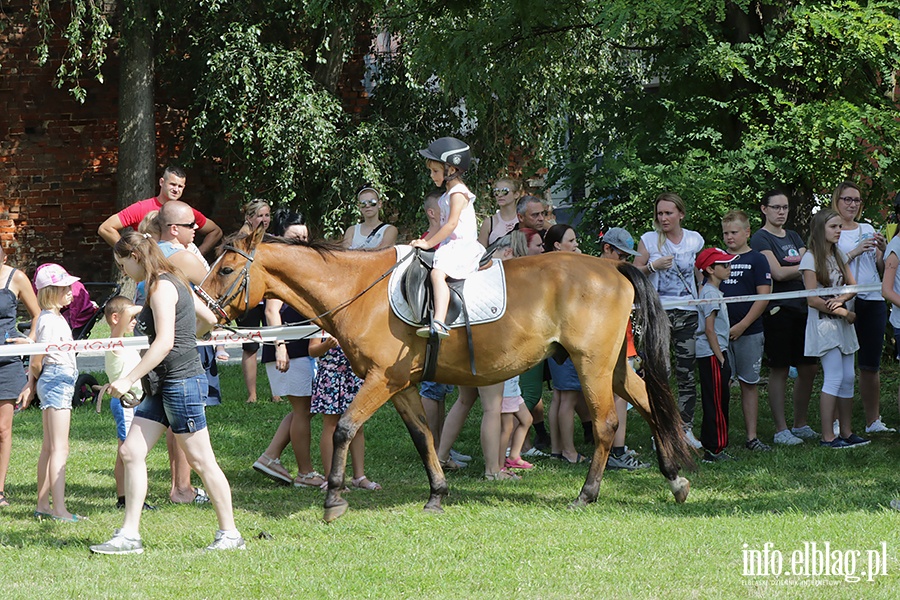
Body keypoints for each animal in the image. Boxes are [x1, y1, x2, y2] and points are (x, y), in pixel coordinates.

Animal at [204, 227, 692, 524]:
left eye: (225, 269)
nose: (203, 313)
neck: (359, 290)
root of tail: (612, 266)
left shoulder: (382, 380)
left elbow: (345, 428)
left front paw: (333, 499)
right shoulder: (400, 385)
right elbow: (424, 435)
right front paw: (437, 493)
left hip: (592, 364)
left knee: (609, 423)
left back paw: (588, 494)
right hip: (613, 366)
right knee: (651, 408)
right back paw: (675, 479)